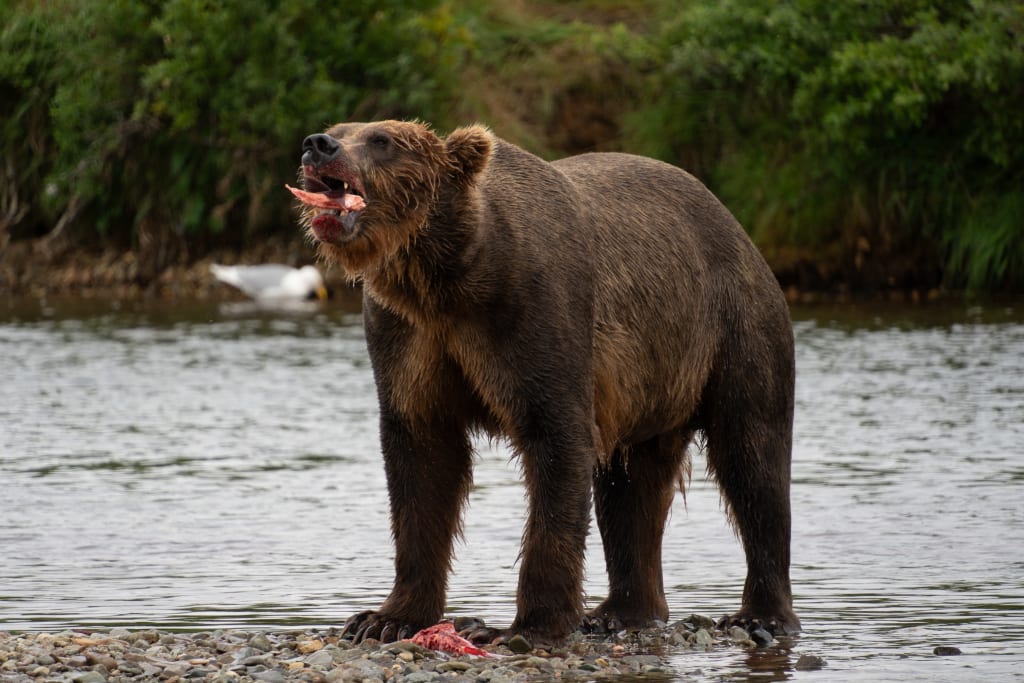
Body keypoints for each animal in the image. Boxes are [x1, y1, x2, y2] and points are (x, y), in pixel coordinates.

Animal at [287, 120, 800, 645]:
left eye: (382, 141)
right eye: (339, 129)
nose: (317, 145)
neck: (446, 278)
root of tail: (738, 228)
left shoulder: (534, 311)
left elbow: (557, 442)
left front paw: (531, 623)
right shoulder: (408, 338)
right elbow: (421, 461)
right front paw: (384, 618)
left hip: (734, 329)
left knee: (752, 460)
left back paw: (760, 615)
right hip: (655, 383)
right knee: (630, 487)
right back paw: (621, 611)